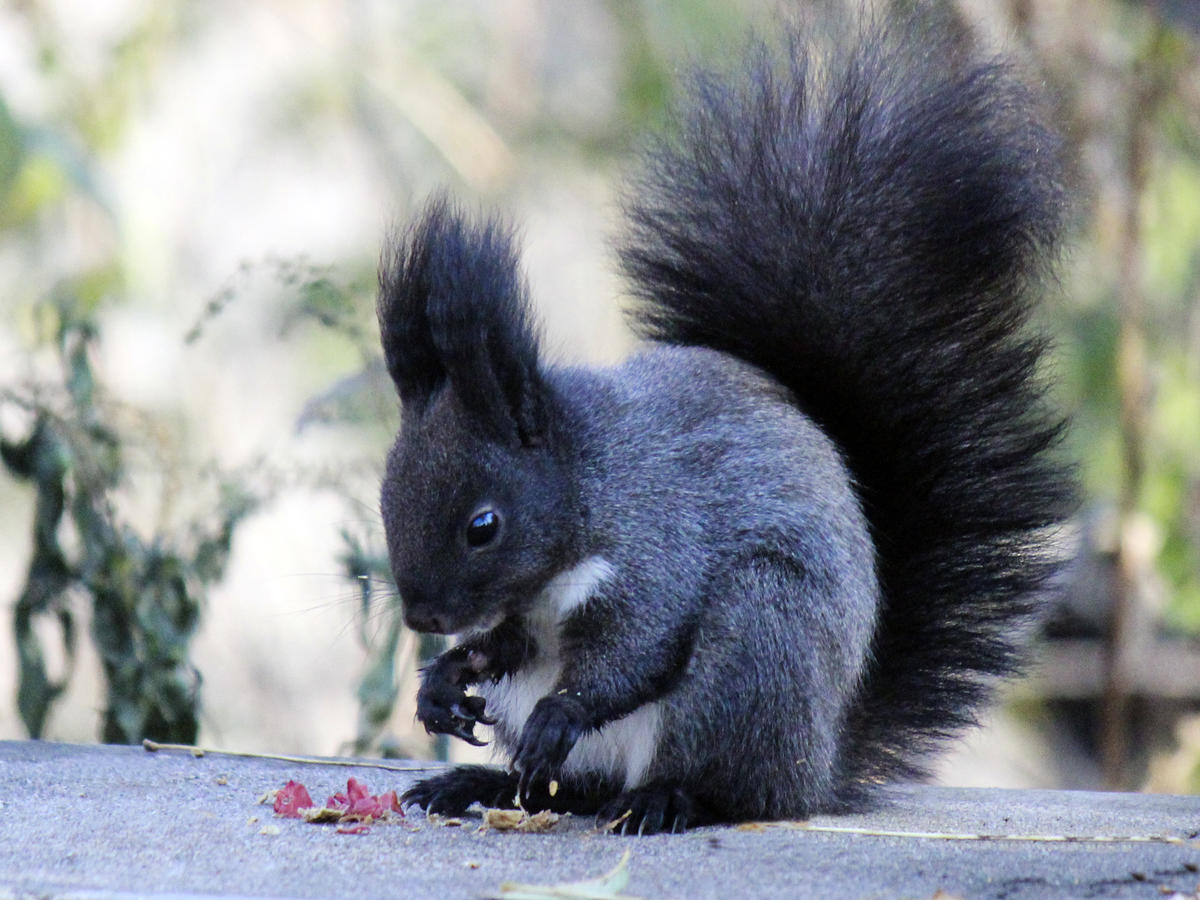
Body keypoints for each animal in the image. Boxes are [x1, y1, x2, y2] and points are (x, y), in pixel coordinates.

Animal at [372, 10, 1070, 835]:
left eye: (484, 526)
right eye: (386, 500)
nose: (423, 617)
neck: (586, 486)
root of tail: (816, 764)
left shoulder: (658, 549)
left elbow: (637, 651)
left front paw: (561, 709)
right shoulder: (527, 618)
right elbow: (502, 647)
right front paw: (443, 682)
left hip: (756, 645)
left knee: (720, 787)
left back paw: (664, 797)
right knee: (574, 790)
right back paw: (482, 785)